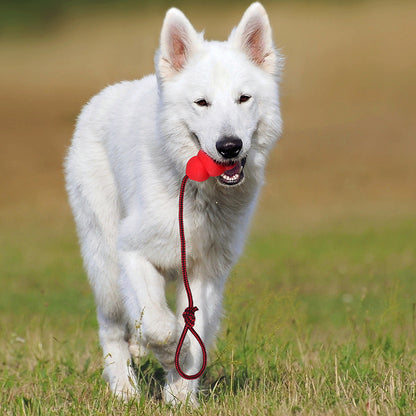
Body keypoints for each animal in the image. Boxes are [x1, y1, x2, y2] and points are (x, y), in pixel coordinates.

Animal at [65, 2, 282, 406]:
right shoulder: (133, 253)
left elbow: (193, 335)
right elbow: (160, 326)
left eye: (243, 99)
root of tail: (100, 99)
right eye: (202, 103)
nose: (230, 147)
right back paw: (124, 389)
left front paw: (181, 396)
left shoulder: (205, 272)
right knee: (112, 328)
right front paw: (167, 356)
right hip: (105, 264)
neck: (196, 191)